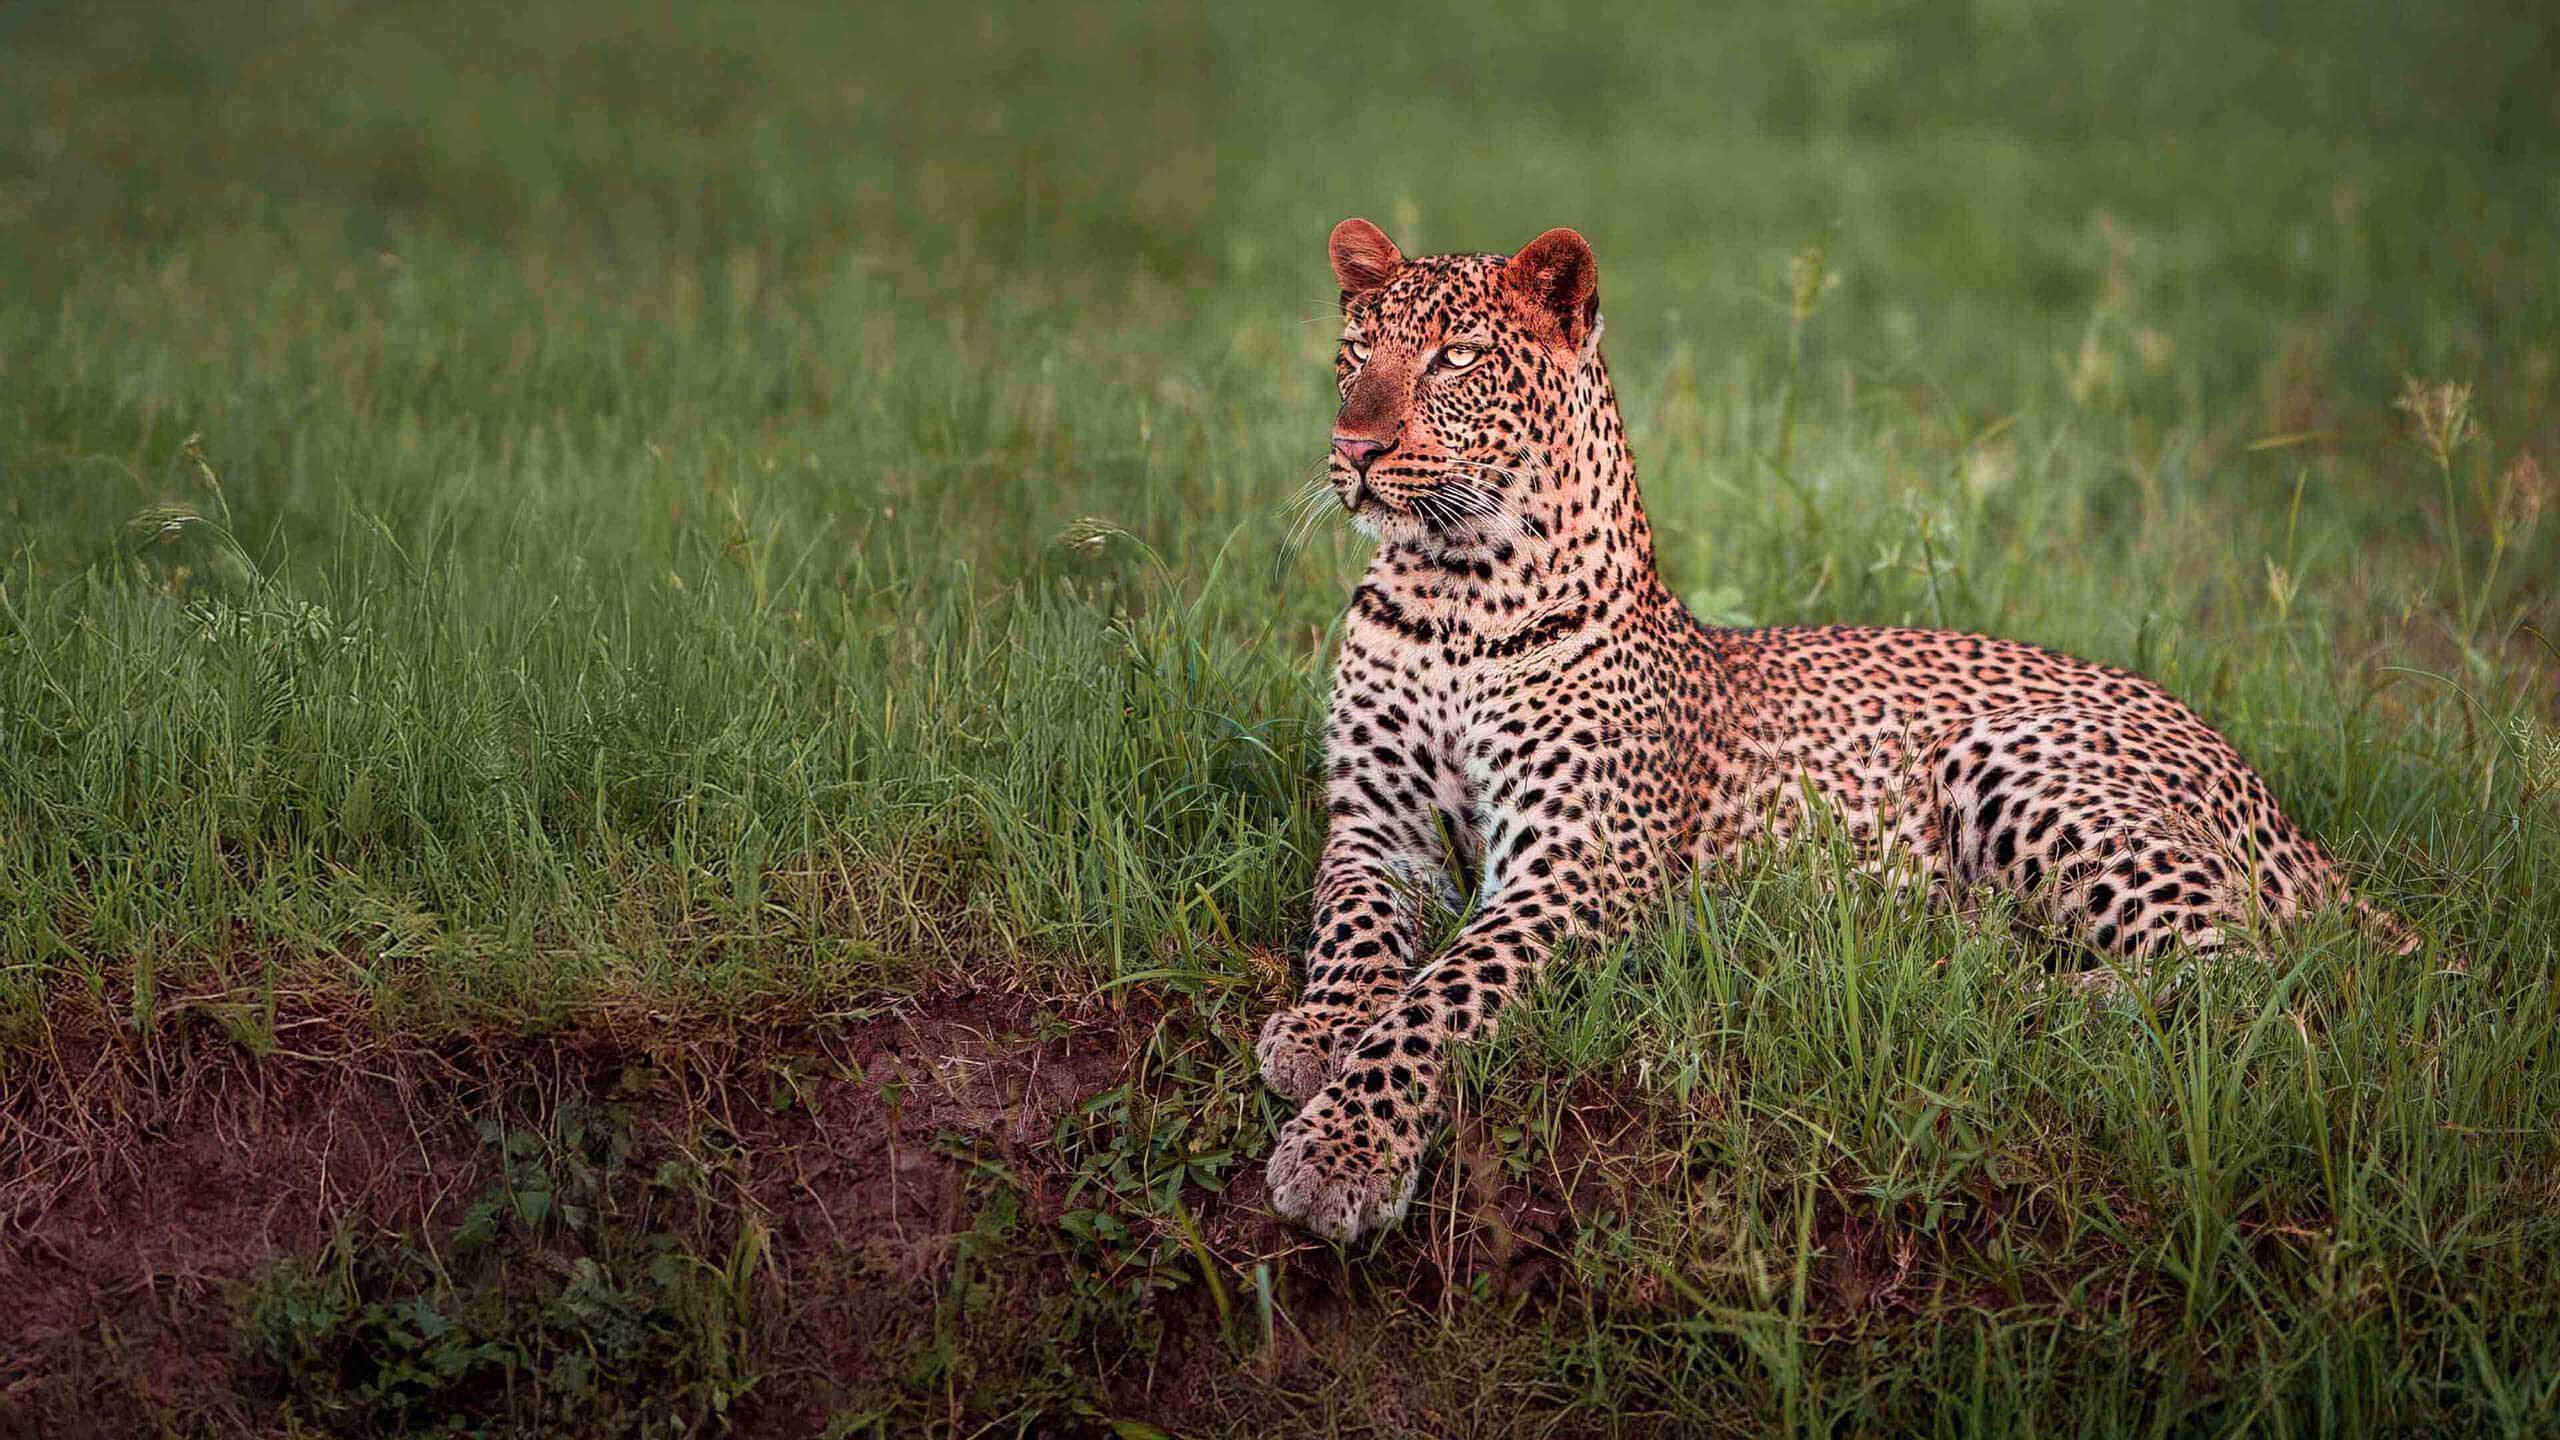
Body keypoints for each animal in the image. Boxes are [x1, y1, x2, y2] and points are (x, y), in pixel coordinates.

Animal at [1257, 217, 2414, 1242]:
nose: (1353, 447)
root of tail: (2268, 795)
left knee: (2247, 965)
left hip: (2011, 760)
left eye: (1455, 359)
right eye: (1355, 353)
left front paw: (1344, 1153)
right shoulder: (1378, 830)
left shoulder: (1575, 870)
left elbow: (1439, 999)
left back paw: (2021, 993)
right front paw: (1319, 1031)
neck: (1453, 593)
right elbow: (1353, 932)